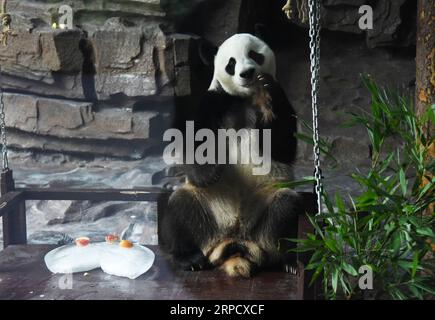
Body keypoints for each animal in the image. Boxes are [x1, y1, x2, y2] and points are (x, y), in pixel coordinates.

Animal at [162, 33, 302, 278]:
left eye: (254, 54)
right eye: (231, 63)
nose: (247, 73)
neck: (244, 98)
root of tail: (235, 241)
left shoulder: (281, 101)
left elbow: (283, 146)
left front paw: (268, 91)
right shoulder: (214, 101)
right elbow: (194, 141)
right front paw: (212, 171)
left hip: (264, 211)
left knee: (286, 210)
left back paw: (289, 261)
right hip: (207, 211)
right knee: (180, 208)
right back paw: (189, 259)